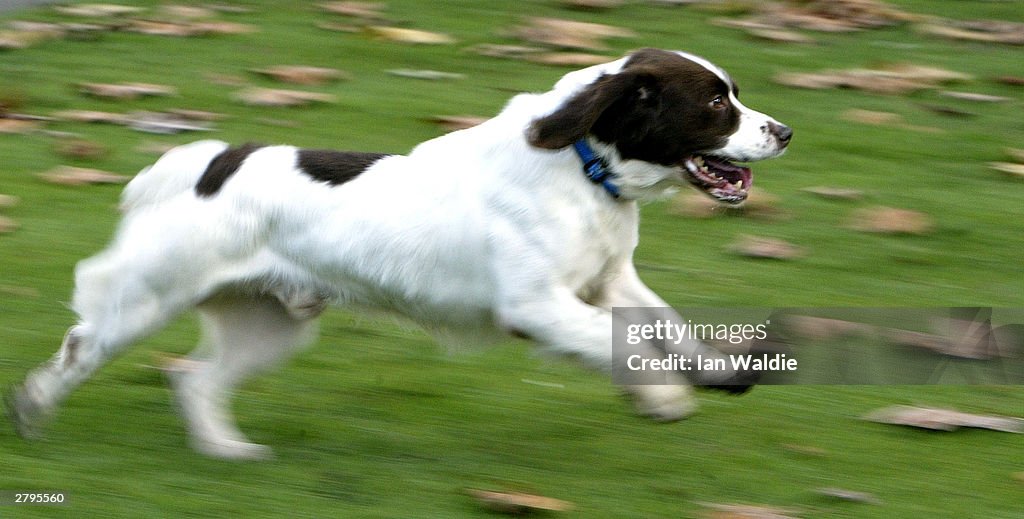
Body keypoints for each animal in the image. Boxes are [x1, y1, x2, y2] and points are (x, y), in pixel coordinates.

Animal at [6, 48, 790, 458]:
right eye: (715, 104)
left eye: (734, 97)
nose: (782, 131)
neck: (581, 168)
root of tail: (204, 164)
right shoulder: (536, 305)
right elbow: (621, 343)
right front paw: (663, 394)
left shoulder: (608, 280)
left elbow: (665, 326)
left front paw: (714, 374)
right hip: (145, 299)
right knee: (79, 349)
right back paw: (33, 411)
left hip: (270, 322)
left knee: (193, 378)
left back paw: (228, 451)